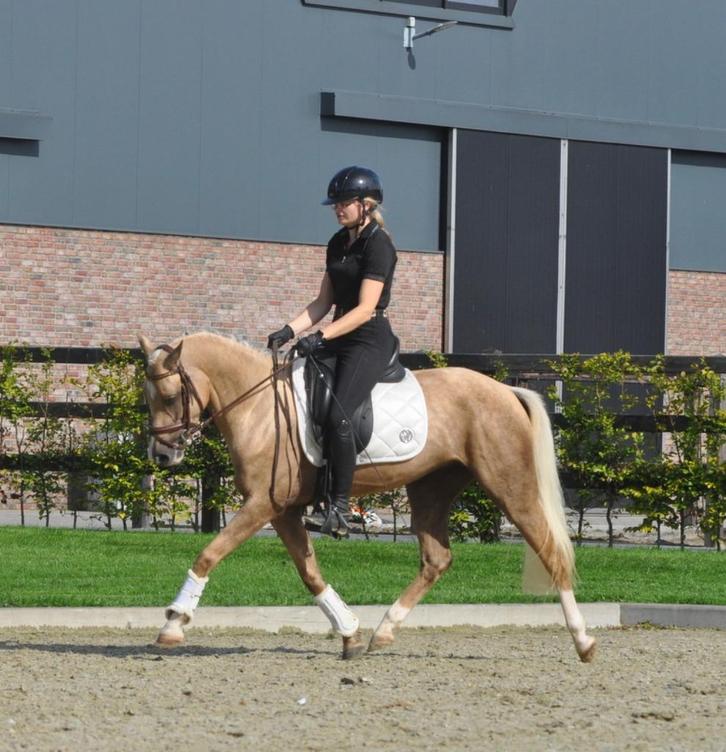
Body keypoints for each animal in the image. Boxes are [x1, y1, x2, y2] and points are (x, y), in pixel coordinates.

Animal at [138, 332, 596, 663]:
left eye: (171, 396)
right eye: (148, 397)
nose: (161, 455)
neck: (261, 408)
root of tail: (505, 391)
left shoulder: (263, 505)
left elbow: (209, 553)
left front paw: (173, 623)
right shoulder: (283, 510)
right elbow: (310, 573)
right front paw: (349, 633)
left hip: (510, 486)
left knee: (551, 550)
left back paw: (583, 641)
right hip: (430, 489)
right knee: (437, 559)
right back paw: (384, 631)